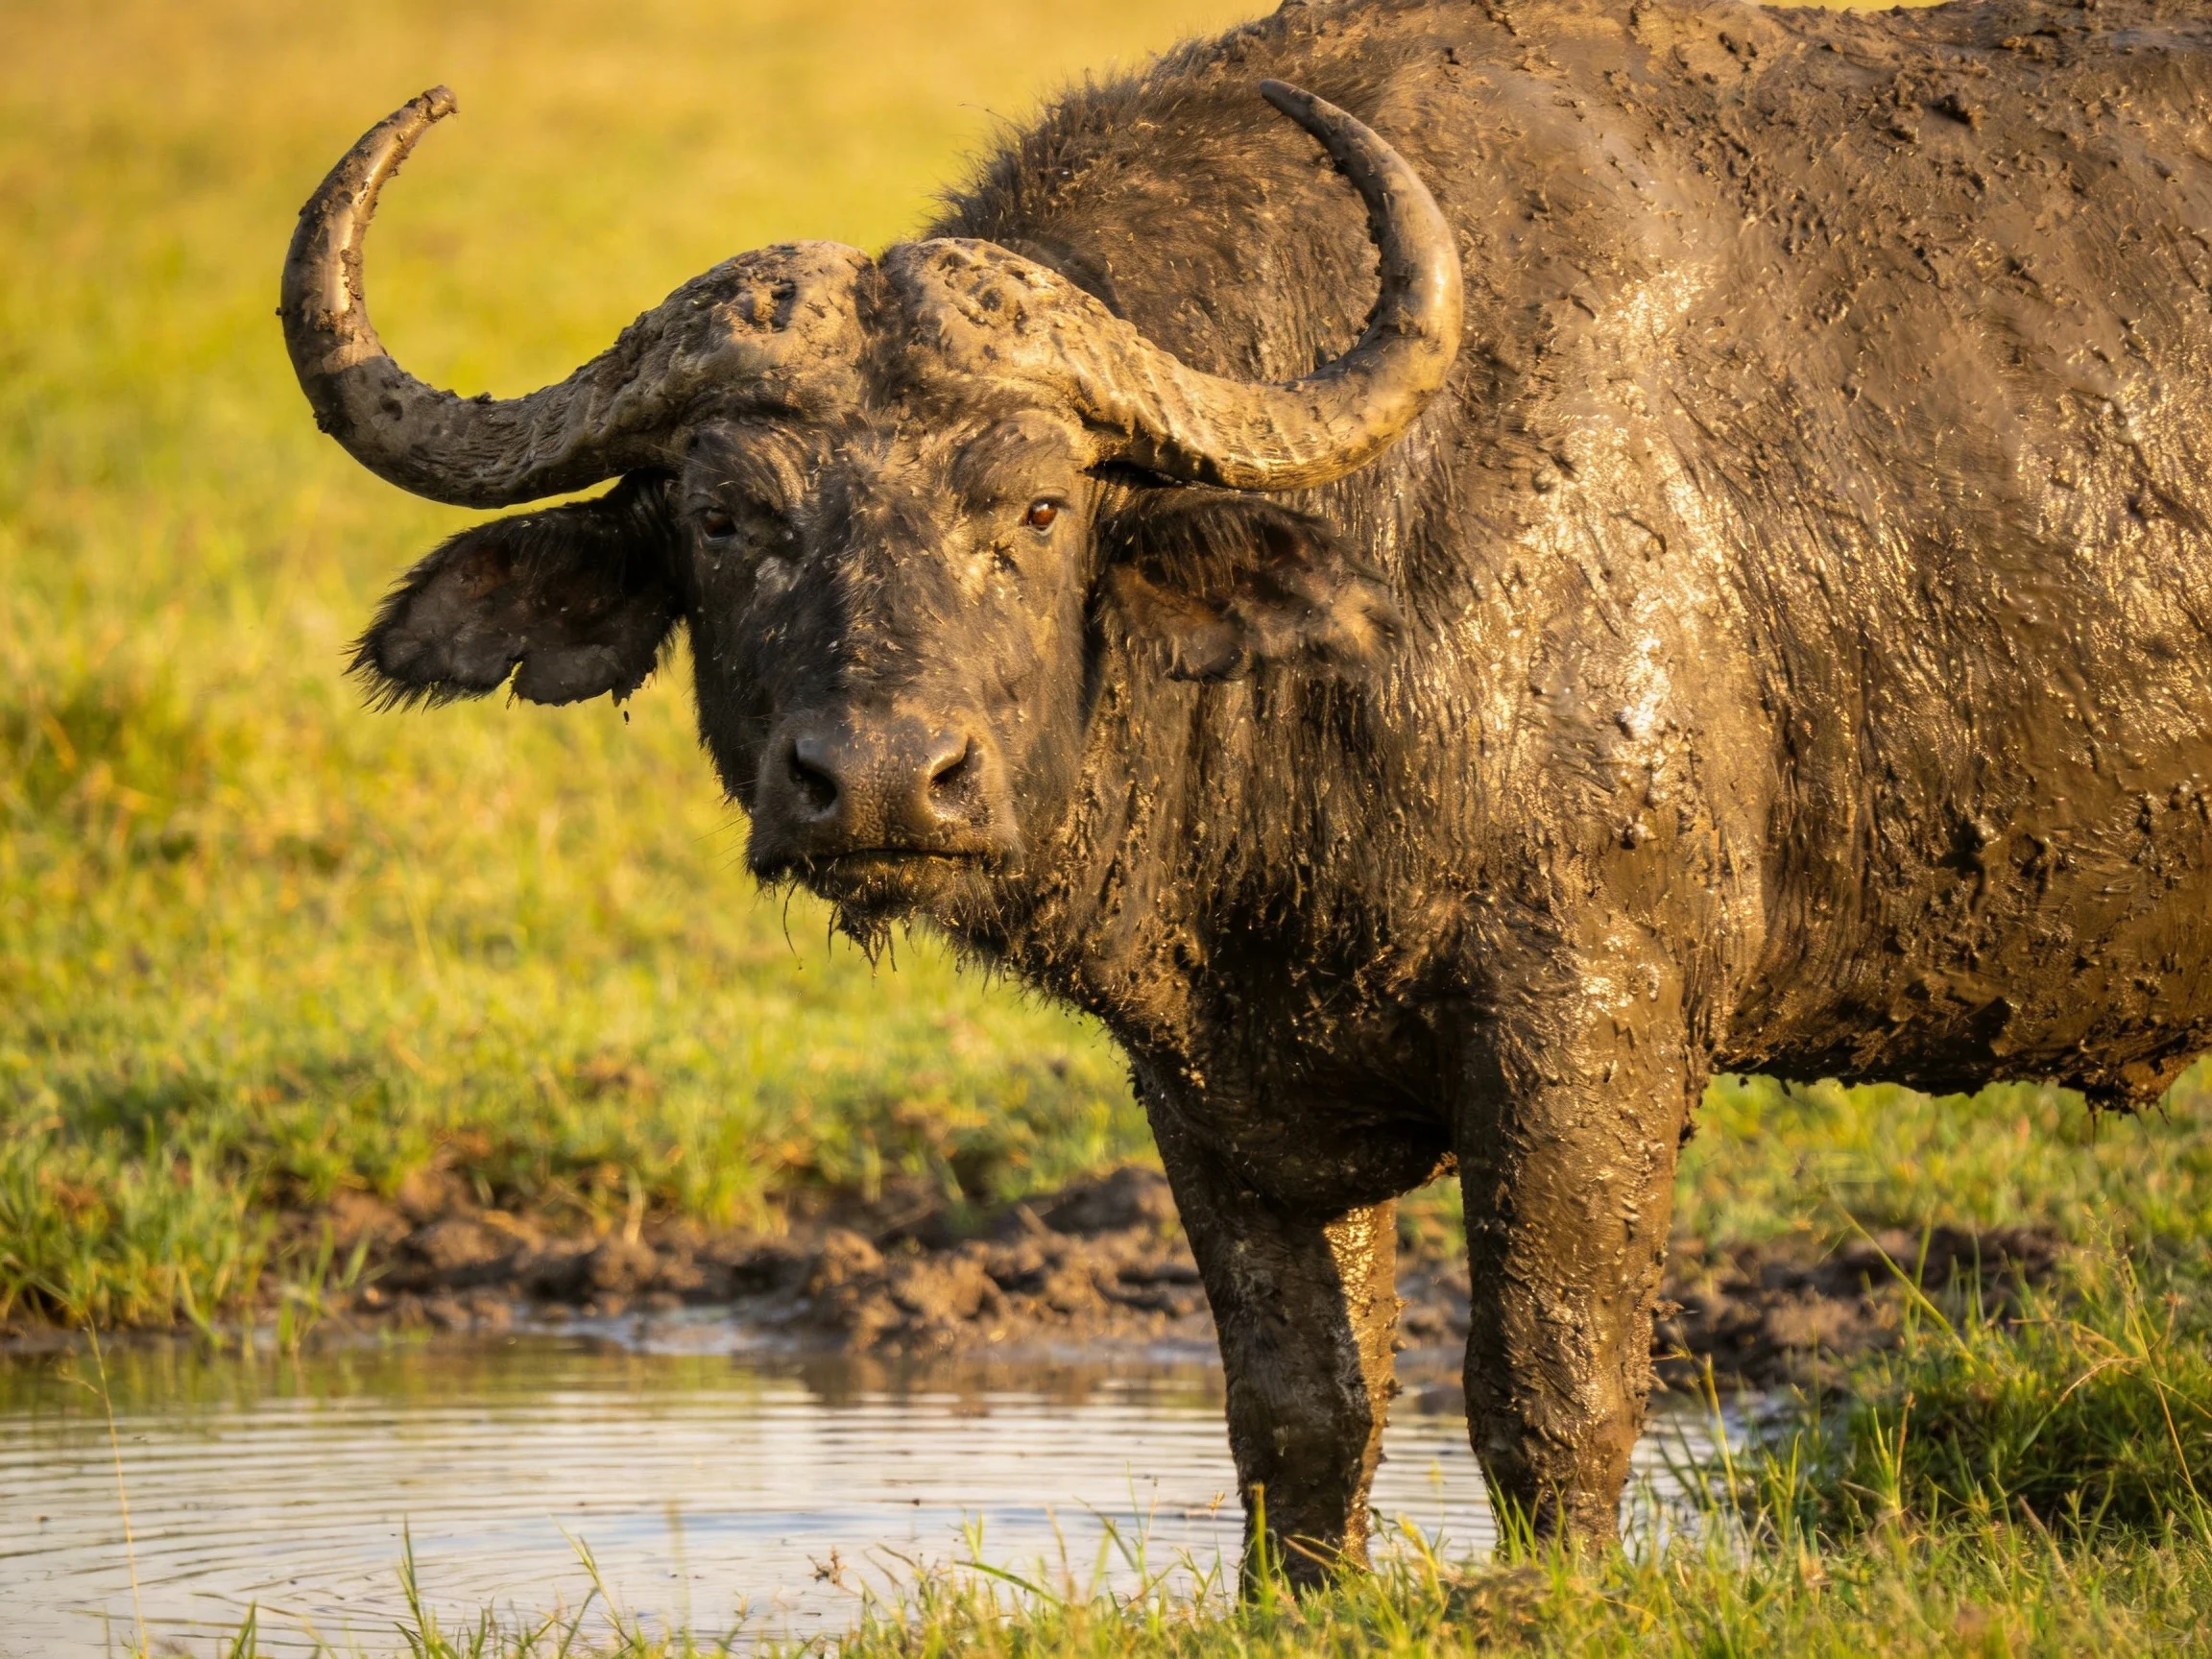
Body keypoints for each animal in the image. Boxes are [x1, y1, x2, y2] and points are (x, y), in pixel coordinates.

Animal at [282, 0, 2212, 1575]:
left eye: (1038, 505)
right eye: (724, 514)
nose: (887, 780)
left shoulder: (1591, 1008)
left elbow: (1548, 1385)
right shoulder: (1212, 1073)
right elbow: (1303, 1409)